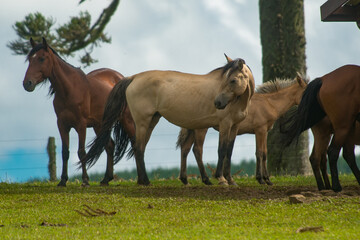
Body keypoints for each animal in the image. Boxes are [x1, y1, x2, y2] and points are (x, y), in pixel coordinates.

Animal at [22, 37, 135, 187]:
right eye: (30, 59)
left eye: (41, 58)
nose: (27, 83)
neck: (69, 89)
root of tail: (122, 78)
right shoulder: (62, 124)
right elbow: (65, 152)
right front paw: (63, 181)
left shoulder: (81, 125)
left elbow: (81, 152)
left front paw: (85, 180)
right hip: (100, 125)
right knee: (110, 146)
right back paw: (106, 179)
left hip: (125, 119)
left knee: (135, 143)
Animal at [86, 54, 256, 186]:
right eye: (225, 80)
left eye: (232, 80)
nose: (218, 103)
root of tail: (133, 78)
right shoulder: (224, 125)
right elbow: (221, 150)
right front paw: (221, 179)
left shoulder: (234, 126)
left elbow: (229, 151)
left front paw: (231, 180)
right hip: (142, 122)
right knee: (139, 147)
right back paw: (146, 181)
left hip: (152, 121)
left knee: (140, 147)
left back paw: (142, 180)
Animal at [282, 64, 360, 192]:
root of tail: (323, 79)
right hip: (341, 128)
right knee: (331, 153)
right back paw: (335, 186)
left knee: (321, 158)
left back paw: (325, 186)